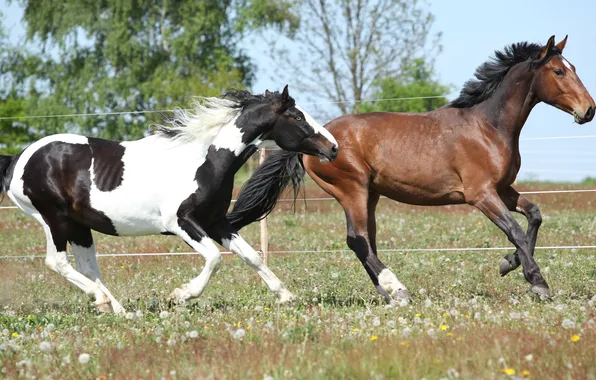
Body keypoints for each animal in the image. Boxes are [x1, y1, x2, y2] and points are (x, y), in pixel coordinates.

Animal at [0, 87, 338, 314]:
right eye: (297, 116)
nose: (333, 147)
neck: (206, 160)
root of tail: (18, 159)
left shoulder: (216, 222)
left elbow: (251, 256)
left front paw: (285, 296)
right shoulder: (181, 222)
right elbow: (214, 258)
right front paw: (180, 295)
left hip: (79, 225)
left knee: (87, 266)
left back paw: (118, 310)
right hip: (54, 218)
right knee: (57, 262)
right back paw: (102, 300)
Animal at [228, 35, 596, 302]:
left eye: (573, 66)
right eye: (559, 71)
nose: (588, 109)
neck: (487, 127)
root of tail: (318, 141)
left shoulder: (502, 189)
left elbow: (534, 215)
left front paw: (509, 264)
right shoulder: (480, 194)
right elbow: (515, 230)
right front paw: (538, 283)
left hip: (370, 195)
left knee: (367, 240)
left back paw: (388, 291)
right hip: (352, 189)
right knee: (357, 239)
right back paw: (398, 290)